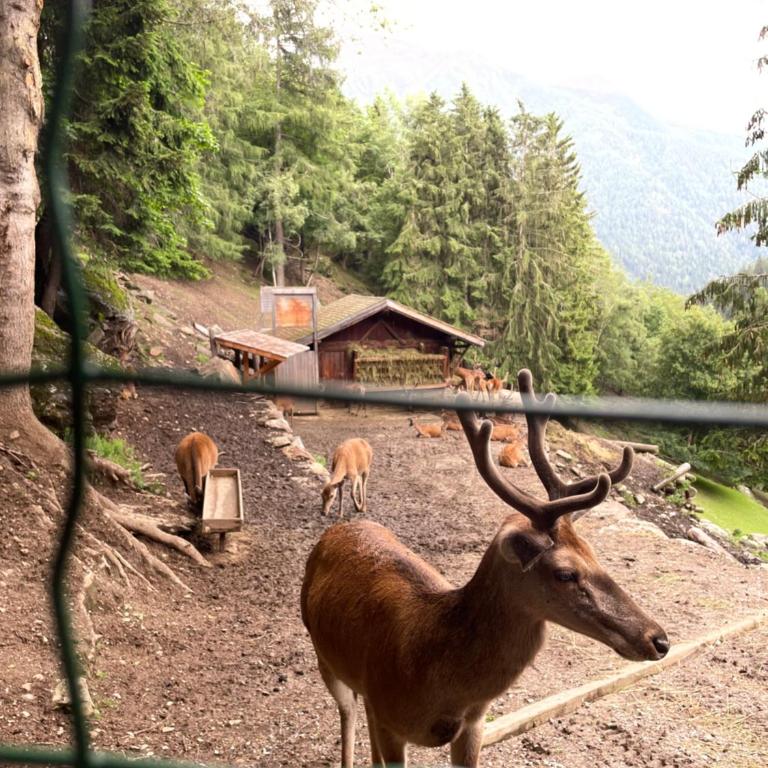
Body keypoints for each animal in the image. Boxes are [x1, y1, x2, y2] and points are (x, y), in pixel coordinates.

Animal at [301, 368, 668, 768]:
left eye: (594, 554)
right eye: (565, 573)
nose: (659, 639)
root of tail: (335, 532)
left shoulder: (472, 725)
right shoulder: (390, 717)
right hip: (323, 655)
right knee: (348, 713)